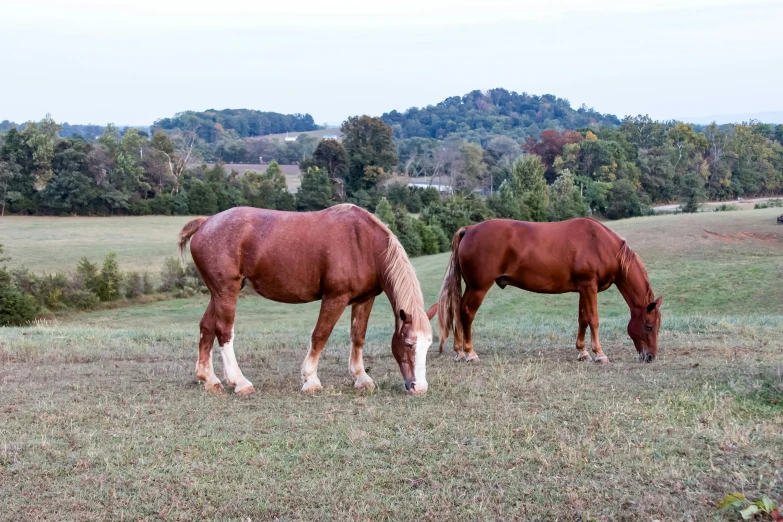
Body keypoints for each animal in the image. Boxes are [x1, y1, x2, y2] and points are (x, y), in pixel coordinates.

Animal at [177, 205, 434, 392]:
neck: (363, 243)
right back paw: (239, 382)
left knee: (207, 327)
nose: (419, 387)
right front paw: (310, 379)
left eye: (429, 345)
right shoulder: (335, 298)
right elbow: (320, 335)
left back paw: (210, 379)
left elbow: (358, 337)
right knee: (224, 330)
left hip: (218, 293)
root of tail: (206, 222)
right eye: (409, 343)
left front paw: (361, 378)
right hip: (226, 291)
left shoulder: (364, 300)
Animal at [438, 217, 664, 364]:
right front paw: (599, 354)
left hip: (472, 287)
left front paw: (583, 352)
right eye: (649, 326)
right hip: (478, 288)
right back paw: (470, 353)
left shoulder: (583, 288)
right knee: (467, 313)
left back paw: (459, 352)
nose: (650, 357)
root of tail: (469, 229)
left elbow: (583, 319)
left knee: (458, 311)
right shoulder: (588, 286)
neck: (600, 244)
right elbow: (594, 319)